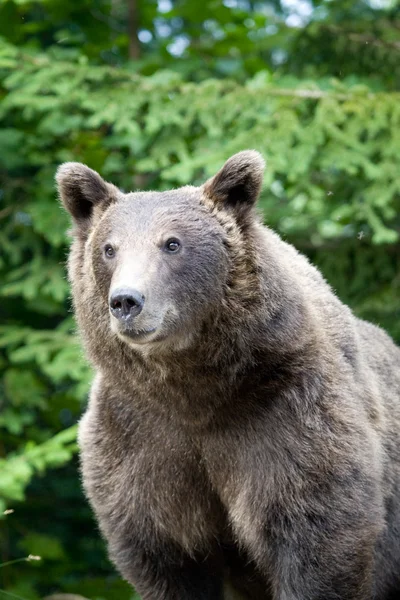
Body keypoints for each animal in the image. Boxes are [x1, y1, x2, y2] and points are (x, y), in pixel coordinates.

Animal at [56, 151, 400, 600]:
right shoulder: (139, 436)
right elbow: (164, 553)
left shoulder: (284, 417)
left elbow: (319, 536)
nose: (126, 301)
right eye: (109, 248)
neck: (197, 390)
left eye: (172, 243)